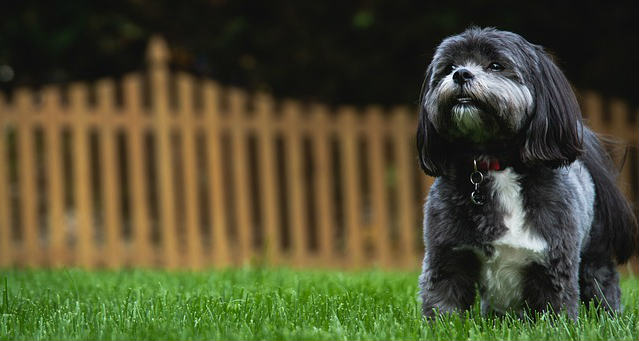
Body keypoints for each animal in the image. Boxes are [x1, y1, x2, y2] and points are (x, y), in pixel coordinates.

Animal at [418, 27, 636, 318]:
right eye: (449, 67)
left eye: (496, 65)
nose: (461, 74)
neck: (496, 165)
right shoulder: (447, 257)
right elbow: (443, 304)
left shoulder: (554, 264)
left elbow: (557, 310)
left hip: (595, 254)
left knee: (602, 281)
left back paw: (609, 316)